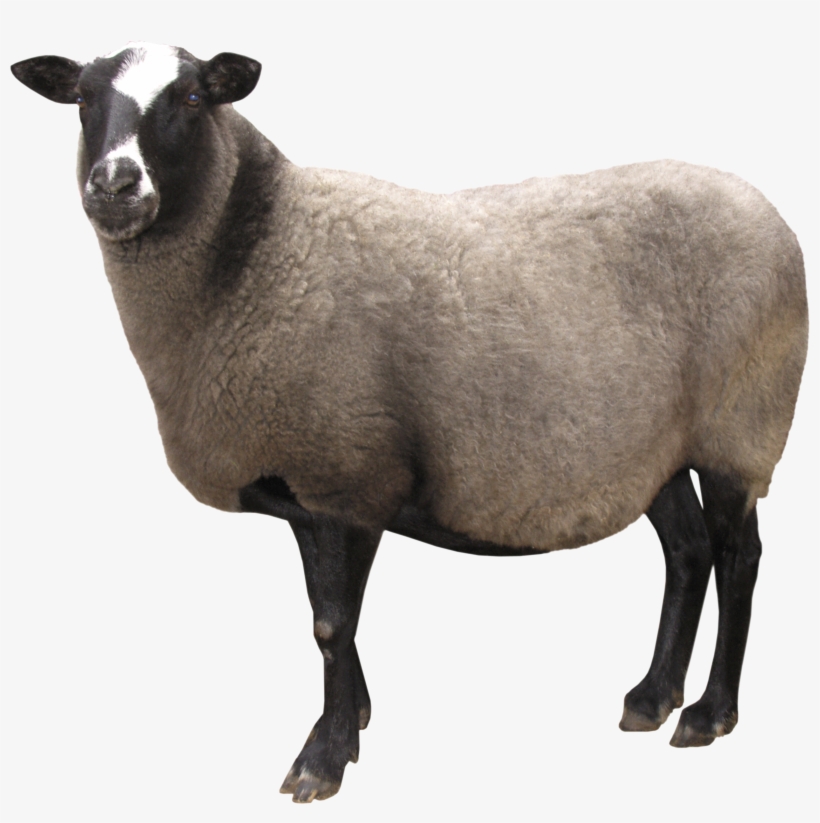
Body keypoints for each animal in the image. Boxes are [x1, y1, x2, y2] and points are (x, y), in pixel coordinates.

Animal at [10, 42, 808, 804]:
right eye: (82, 98)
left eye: (194, 97)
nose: (116, 185)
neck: (258, 250)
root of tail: (766, 210)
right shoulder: (309, 485)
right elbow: (326, 619)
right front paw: (352, 719)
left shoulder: (350, 472)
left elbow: (333, 623)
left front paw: (322, 760)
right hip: (656, 447)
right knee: (688, 552)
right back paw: (652, 697)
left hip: (741, 426)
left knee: (739, 557)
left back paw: (709, 713)